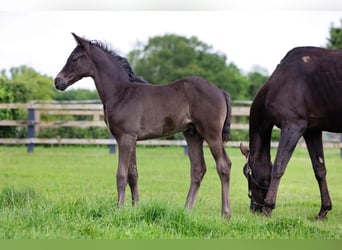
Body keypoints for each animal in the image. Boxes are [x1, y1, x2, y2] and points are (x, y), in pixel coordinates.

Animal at [54, 34, 232, 218]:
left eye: (74, 58)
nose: (58, 81)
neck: (121, 93)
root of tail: (220, 91)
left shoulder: (126, 138)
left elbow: (121, 174)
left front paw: (119, 209)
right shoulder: (129, 139)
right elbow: (133, 174)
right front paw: (135, 209)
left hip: (211, 133)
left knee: (224, 165)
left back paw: (225, 214)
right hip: (192, 134)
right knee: (198, 169)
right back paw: (186, 210)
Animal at [239, 46, 342, 220]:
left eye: (247, 173)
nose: (254, 208)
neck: (280, 80)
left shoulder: (293, 126)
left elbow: (278, 167)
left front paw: (268, 208)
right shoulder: (312, 131)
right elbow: (319, 169)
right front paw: (323, 210)